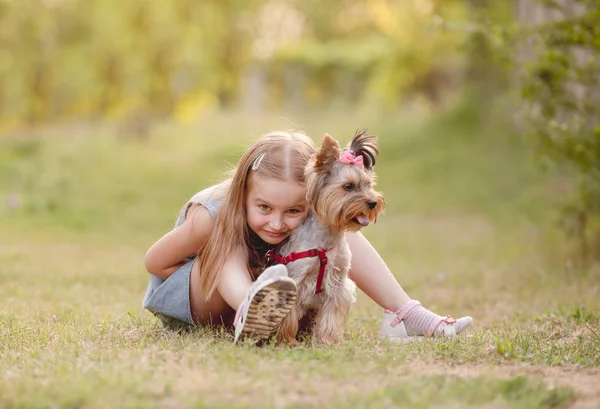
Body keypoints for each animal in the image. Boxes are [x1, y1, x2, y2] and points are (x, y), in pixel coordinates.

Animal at [270, 129, 384, 342]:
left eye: (368, 184)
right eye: (348, 186)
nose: (373, 202)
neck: (327, 240)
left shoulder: (338, 283)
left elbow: (330, 317)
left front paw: (327, 341)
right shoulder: (296, 280)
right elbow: (288, 317)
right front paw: (286, 341)